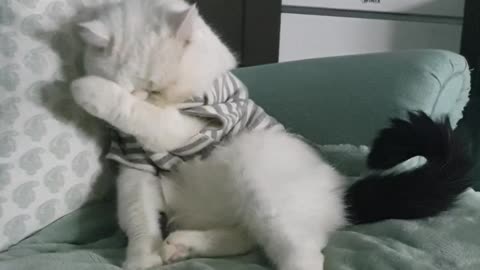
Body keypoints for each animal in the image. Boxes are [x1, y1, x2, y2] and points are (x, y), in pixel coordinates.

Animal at [70, 0, 472, 270]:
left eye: (156, 88)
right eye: (138, 86)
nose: (148, 95)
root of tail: (339, 192)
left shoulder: (192, 128)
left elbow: (149, 118)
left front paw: (89, 90)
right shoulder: (134, 168)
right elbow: (138, 218)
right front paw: (143, 257)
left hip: (258, 166)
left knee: (302, 253)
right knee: (244, 236)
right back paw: (181, 245)